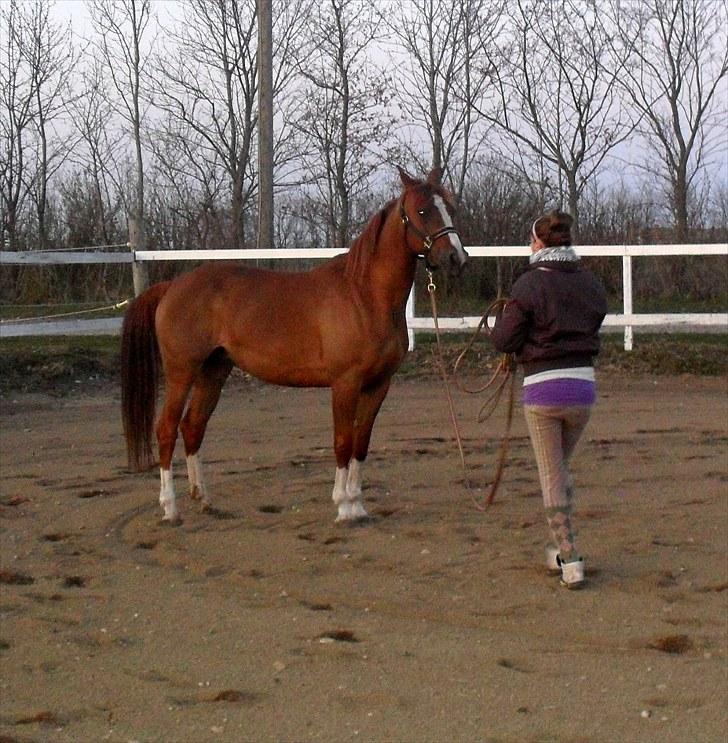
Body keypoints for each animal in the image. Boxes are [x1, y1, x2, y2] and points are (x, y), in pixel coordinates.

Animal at [121, 170, 466, 524]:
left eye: (450, 207)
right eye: (422, 210)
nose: (456, 257)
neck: (364, 295)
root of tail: (171, 287)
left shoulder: (378, 384)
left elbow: (361, 442)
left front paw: (358, 505)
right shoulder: (345, 383)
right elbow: (343, 442)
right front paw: (343, 505)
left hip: (213, 371)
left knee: (192, 427)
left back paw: (204, 499)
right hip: (181, 372)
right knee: (166, 429)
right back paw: (170, 508)